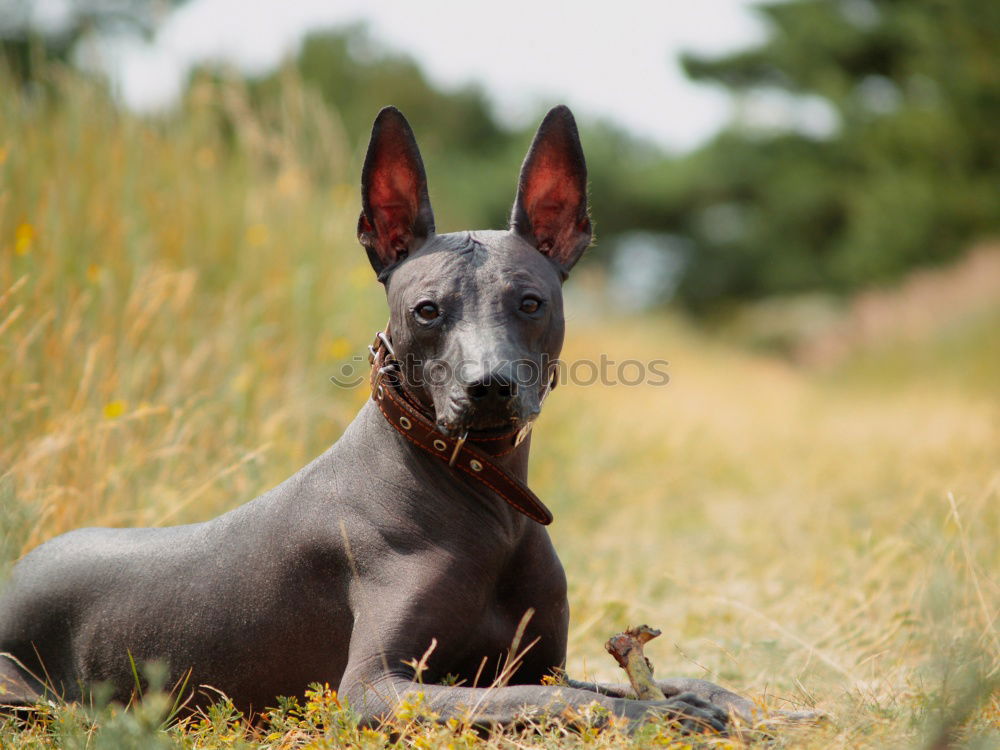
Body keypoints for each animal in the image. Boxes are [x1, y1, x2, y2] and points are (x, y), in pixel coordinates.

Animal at [0, 106, 756, 736]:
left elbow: (609, 684)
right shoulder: (376, 687)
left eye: (530, 303)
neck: (486, 505)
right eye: (427, 310)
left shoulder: (542, 660)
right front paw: (668, 717)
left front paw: (712, 697)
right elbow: (558, 699)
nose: (489, 388)